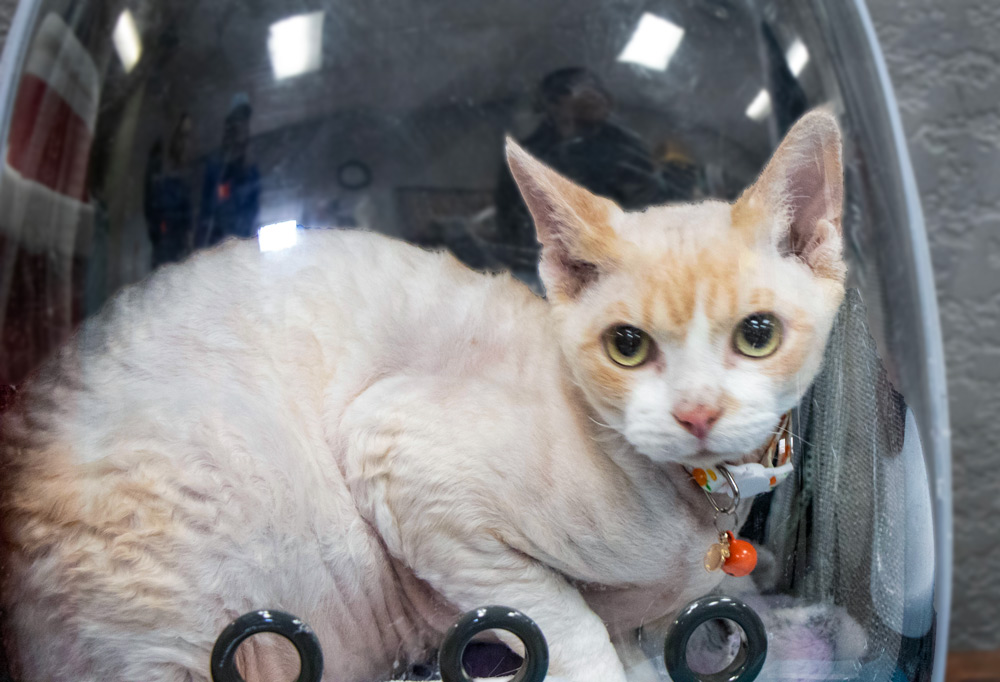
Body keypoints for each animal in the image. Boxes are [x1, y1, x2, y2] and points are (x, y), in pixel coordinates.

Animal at [0, 107, 844, 680]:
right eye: (627, 346)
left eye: (757, 334)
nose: (697, 413)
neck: (697, 514)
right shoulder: (400, 458)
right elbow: (564, 622)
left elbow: (639, 641)